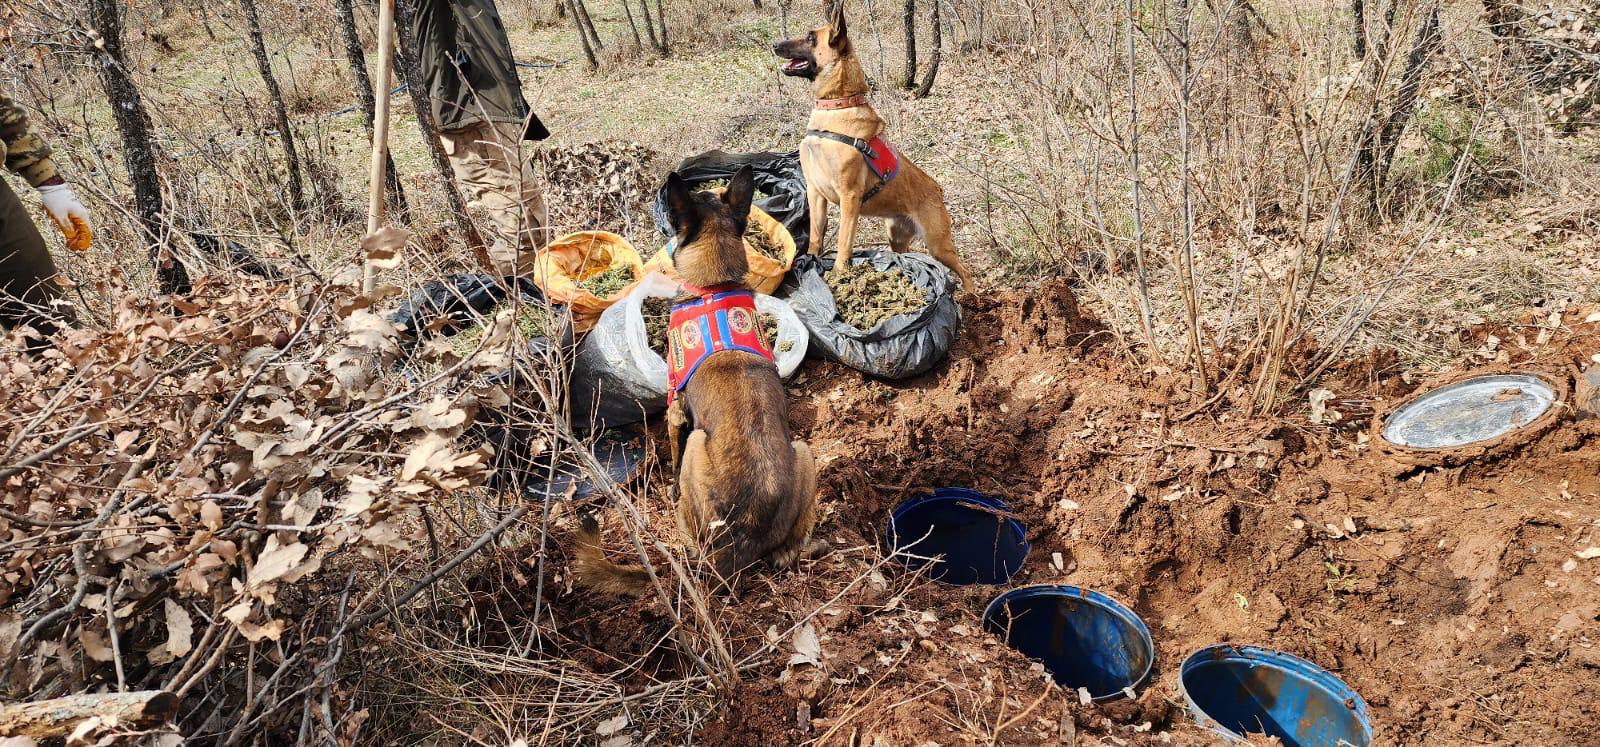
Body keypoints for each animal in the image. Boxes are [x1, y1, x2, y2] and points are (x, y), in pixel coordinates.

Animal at [576, 166, 819, 595]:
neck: (714, 286)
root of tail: (741, 539)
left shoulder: (675, 410)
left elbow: (672, 455)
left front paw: (671, 487)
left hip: (698, 445)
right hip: (803, 451)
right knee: (788, 552)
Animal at [774, 2, 972, 289]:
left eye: (811, 38)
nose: (774, 44)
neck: (836, 107)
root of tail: (937, 190)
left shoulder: (849, 198)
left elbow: (843, 245)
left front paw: (839, 275)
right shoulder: (815, 192)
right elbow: (815, 238)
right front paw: (810, 263)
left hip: (938, 244)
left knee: (965, 270)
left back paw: (972, 294)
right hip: (897, 239)